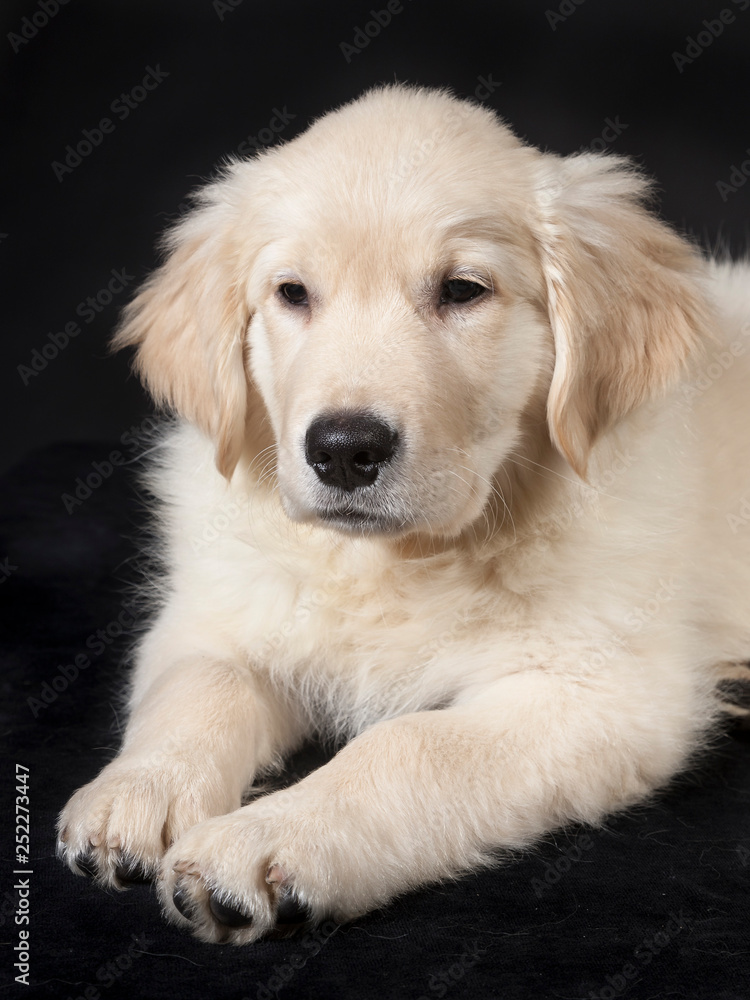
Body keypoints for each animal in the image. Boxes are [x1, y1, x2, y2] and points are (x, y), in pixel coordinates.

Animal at [57, 82, 750, 940]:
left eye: (462, 290)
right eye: (292, 294)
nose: (344, 449)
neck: (400, 561)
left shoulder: (597, 694)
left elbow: (407, 745)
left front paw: (266, 838)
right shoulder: (215, 611)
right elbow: (197, 687)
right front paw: (138, 790)